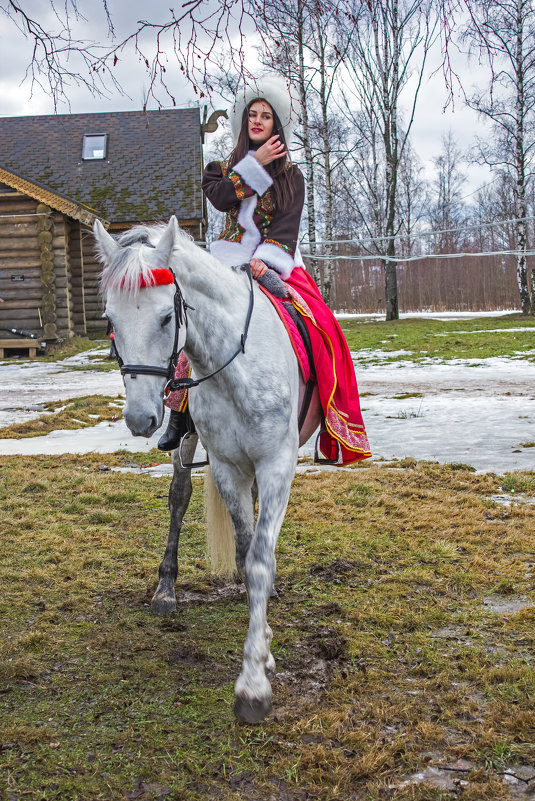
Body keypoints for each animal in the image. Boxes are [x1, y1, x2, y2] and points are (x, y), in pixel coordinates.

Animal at [94, 216, 320, 720]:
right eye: (111, 322)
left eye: (166, 317)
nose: (140, 418)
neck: (235, 366)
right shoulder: (227, 466)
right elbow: (246, 549)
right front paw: (262, 652)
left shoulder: (276, 466)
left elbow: (260, 559)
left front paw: (254, 684)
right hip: (188, 442)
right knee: (179, 500)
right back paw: (166, 590)